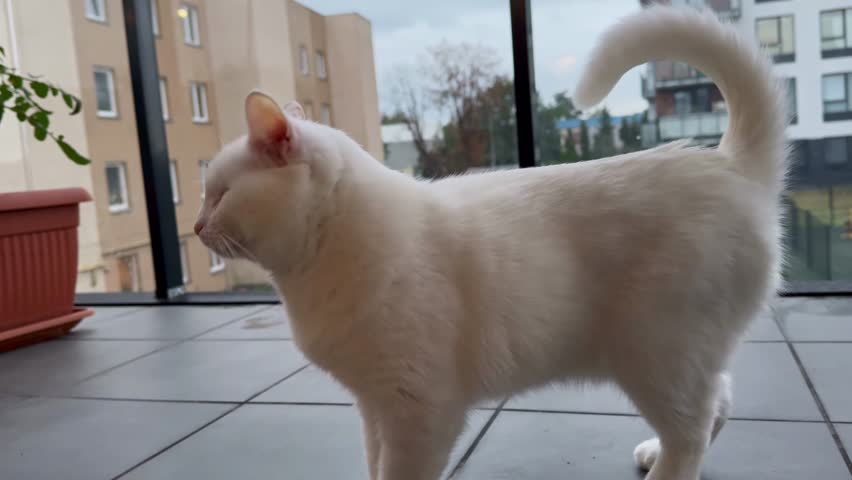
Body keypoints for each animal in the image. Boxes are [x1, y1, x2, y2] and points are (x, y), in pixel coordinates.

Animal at [193, 5, 784, 478]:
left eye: (217, 195)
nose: (196, 228)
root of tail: (730, 164)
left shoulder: (418, 411)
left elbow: (397, 474)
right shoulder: (374, 408)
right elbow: (374, 466)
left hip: (659, 356)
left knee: (691, 433)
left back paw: (665, 469)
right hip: (680, 362)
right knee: (716, 404)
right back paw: (652, 453)